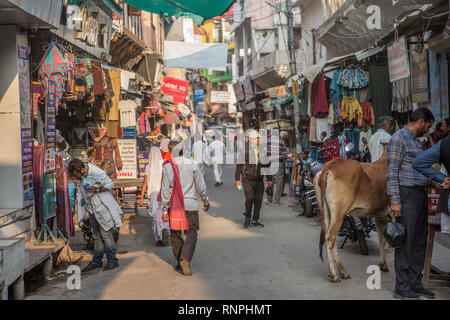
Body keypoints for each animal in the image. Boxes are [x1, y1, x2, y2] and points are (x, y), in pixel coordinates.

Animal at [314, 152, 392, 282]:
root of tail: (329, 166)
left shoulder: (379, 217)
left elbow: (382, 240)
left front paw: (383, 265)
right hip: (338, 214)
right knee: (330, 238)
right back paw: (334, 275)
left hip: (326, 212)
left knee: (331, 240)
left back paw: (341, 272)